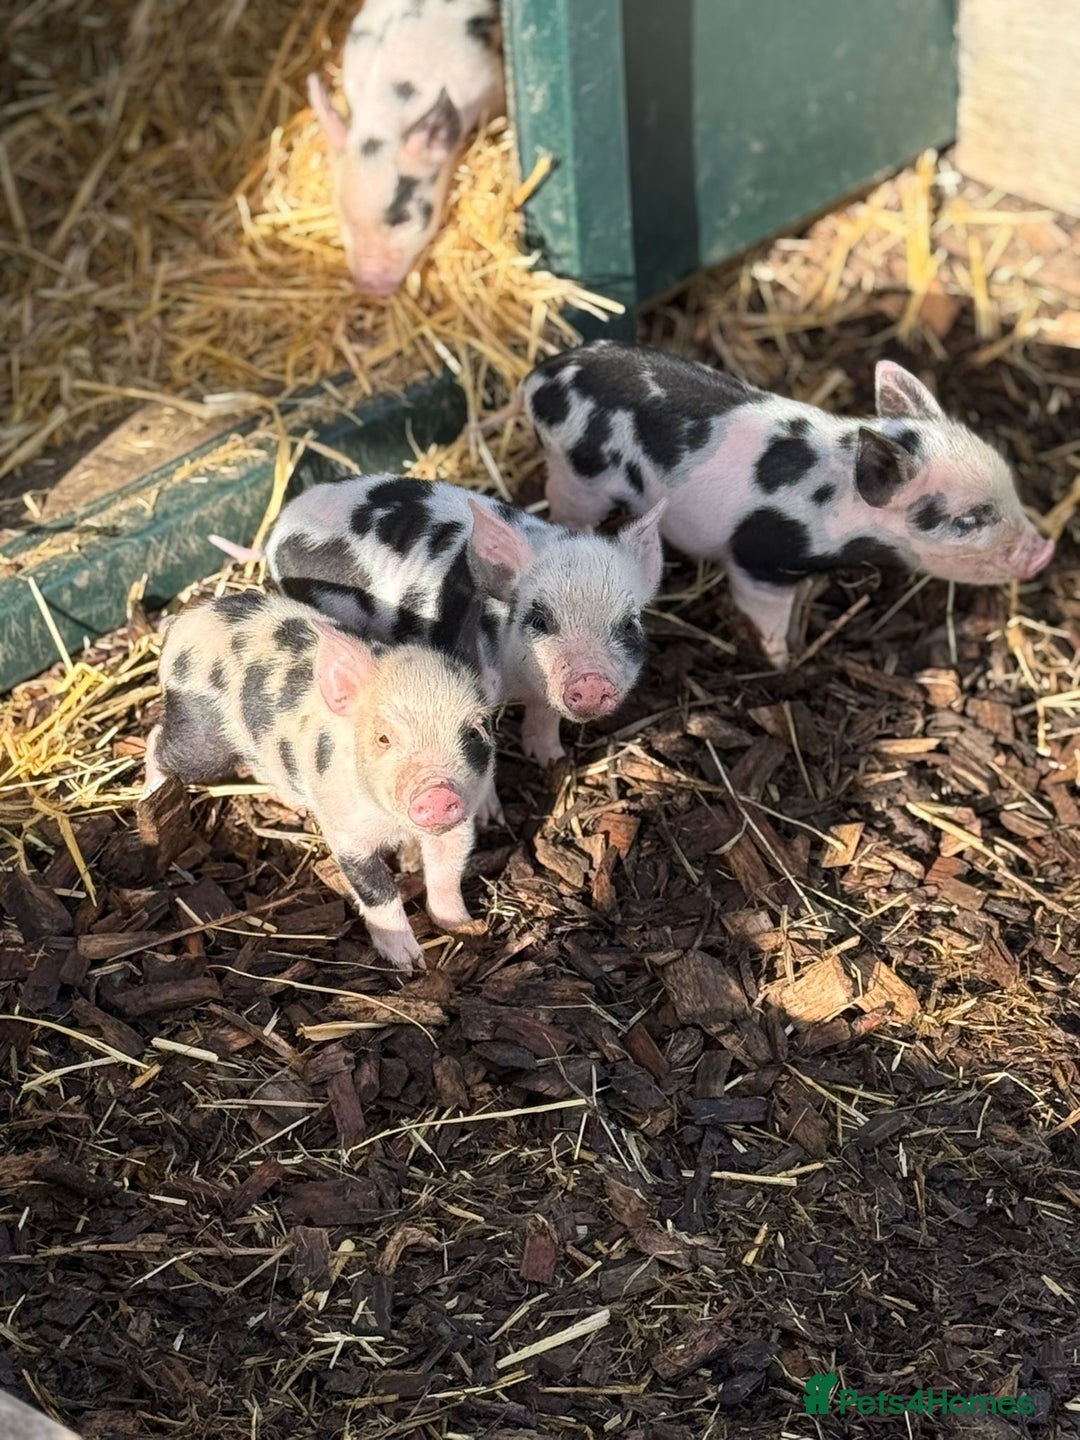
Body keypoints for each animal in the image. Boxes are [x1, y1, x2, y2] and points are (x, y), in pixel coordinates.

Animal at [143, 591, 495, 972]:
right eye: (384, 738)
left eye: (474, 731)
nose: (436, 792)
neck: (393, 824)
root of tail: (184, 621)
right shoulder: (347, 834)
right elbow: (378, 892)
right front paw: (408, 962)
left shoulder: (460, 823)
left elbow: (446, 873)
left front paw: (464, 926)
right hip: (202, 738)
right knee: (156, 739)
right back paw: (152, 795)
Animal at [221, 474, 666, 768]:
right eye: (539, 619)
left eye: (629, 624)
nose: (591, 681)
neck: (518, 681)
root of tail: (277, 530)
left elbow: (545, 716)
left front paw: (551, 761)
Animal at [522, 341, 1055, 669]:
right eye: (968, 521)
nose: (1045, 551)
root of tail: (538, 377)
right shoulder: (760, 558)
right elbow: (763, 613)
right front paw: (782, 663)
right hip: (577, 479)